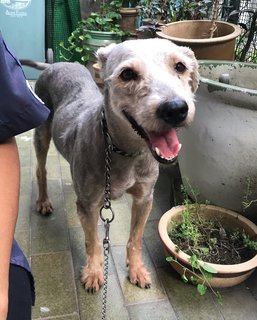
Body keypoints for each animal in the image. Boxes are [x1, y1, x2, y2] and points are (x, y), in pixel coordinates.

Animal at [30, 38, 199, 292]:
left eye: (180, 66)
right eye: (127, 74)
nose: (176, 109)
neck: (126, 151)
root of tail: (52, 64)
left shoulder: (144, 199)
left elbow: (135, 239)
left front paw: (136, 269)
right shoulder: (89, 206)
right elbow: (93, 241)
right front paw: (93, 272)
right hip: (41, 134)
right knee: (41, 170)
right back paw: (43, 202)